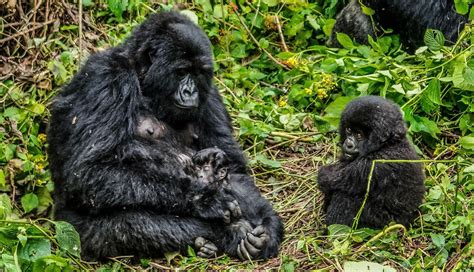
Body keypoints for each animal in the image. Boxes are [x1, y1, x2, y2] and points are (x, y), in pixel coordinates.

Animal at [47, 11, 284, 262]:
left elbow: (235, 170)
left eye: (198, 73)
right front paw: (204, 200)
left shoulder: (211, 94)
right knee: (131, 224)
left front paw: (268, 223)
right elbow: (88, 170)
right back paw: (226, 233)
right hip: (71, 230)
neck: (142, 79)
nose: (190, 92)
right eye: (181, 72)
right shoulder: (106, 78)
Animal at [318, 96, 426, 228]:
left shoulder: (373, 165)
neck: (388, 143)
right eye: (348, 129)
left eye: (359, 135)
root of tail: (411, 220)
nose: (348, 144)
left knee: (345, 196)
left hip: (386, 223)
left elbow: (329, 179)